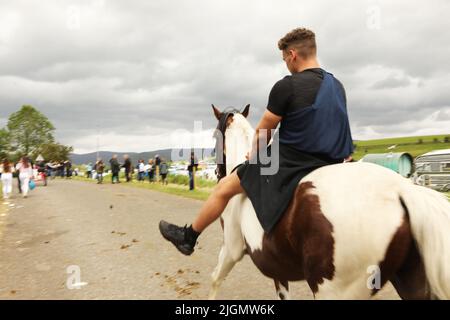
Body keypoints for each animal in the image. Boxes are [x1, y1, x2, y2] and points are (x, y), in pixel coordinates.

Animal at [209, 104, 450, 300]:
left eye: (214, 137)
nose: (217, 173)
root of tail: (400, 190)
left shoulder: (231, 248)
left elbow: (215, 278)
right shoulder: (277, 267)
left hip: (333, 289)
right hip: (411, 282)